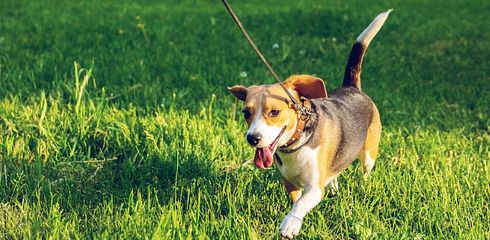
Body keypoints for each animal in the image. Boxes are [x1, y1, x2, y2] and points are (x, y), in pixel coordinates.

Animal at [228, 10, 392, 238]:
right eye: (246, 113)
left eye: (274, 112)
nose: (253, 138)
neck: (296, 144)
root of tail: (352, 88)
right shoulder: (289, 183)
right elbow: (296, 200)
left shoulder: (314, 188)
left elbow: (301, 204)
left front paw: (290, 224)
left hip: (369, 154)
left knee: (365, 171)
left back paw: (363, 186)